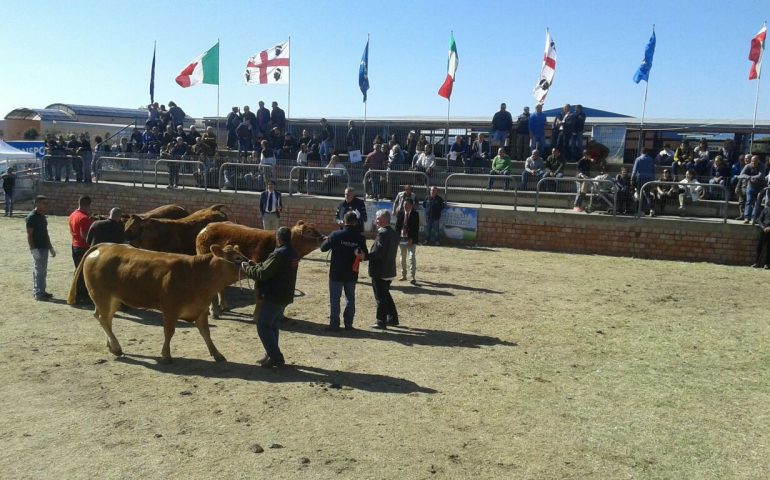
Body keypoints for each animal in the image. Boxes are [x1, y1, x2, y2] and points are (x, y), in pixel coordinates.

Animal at [66, 242, 248, 362]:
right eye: (237, 257)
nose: (251, 263)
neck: (196, 274)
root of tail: (103, 246)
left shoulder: (201, 309)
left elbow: (206, 333)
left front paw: (217, 354)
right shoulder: (170, 309)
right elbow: (169, 332)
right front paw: (166, 355)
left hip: (114, 299)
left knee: (107, 318)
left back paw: (111, 345)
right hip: (101, 295)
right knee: (103, 318)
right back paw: (116, 348)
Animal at [194, 221, 326, 318]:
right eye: (309, 231)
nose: (324, 237)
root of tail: (207, 227)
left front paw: (280, 316)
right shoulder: (260, 274)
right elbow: (259, 295)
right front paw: (257, 315)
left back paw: (224, 306)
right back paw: (214, 311)